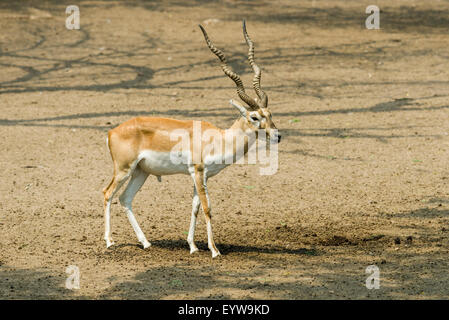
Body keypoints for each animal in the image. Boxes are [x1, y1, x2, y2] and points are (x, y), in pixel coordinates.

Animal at [103, 20, 282, 258]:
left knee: (125, 198)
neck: (219, 138)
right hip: (124, 169)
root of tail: (112, 131)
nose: (277, 135)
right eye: (254, 117)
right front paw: (214, 250)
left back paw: (146, 243)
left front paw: (193, 246)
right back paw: (109, 242)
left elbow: (195, 207)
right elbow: (207, 208)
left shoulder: (200, 177)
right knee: (107, 193)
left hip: (141, 172)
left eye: (270, 114)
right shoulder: (198, 172)